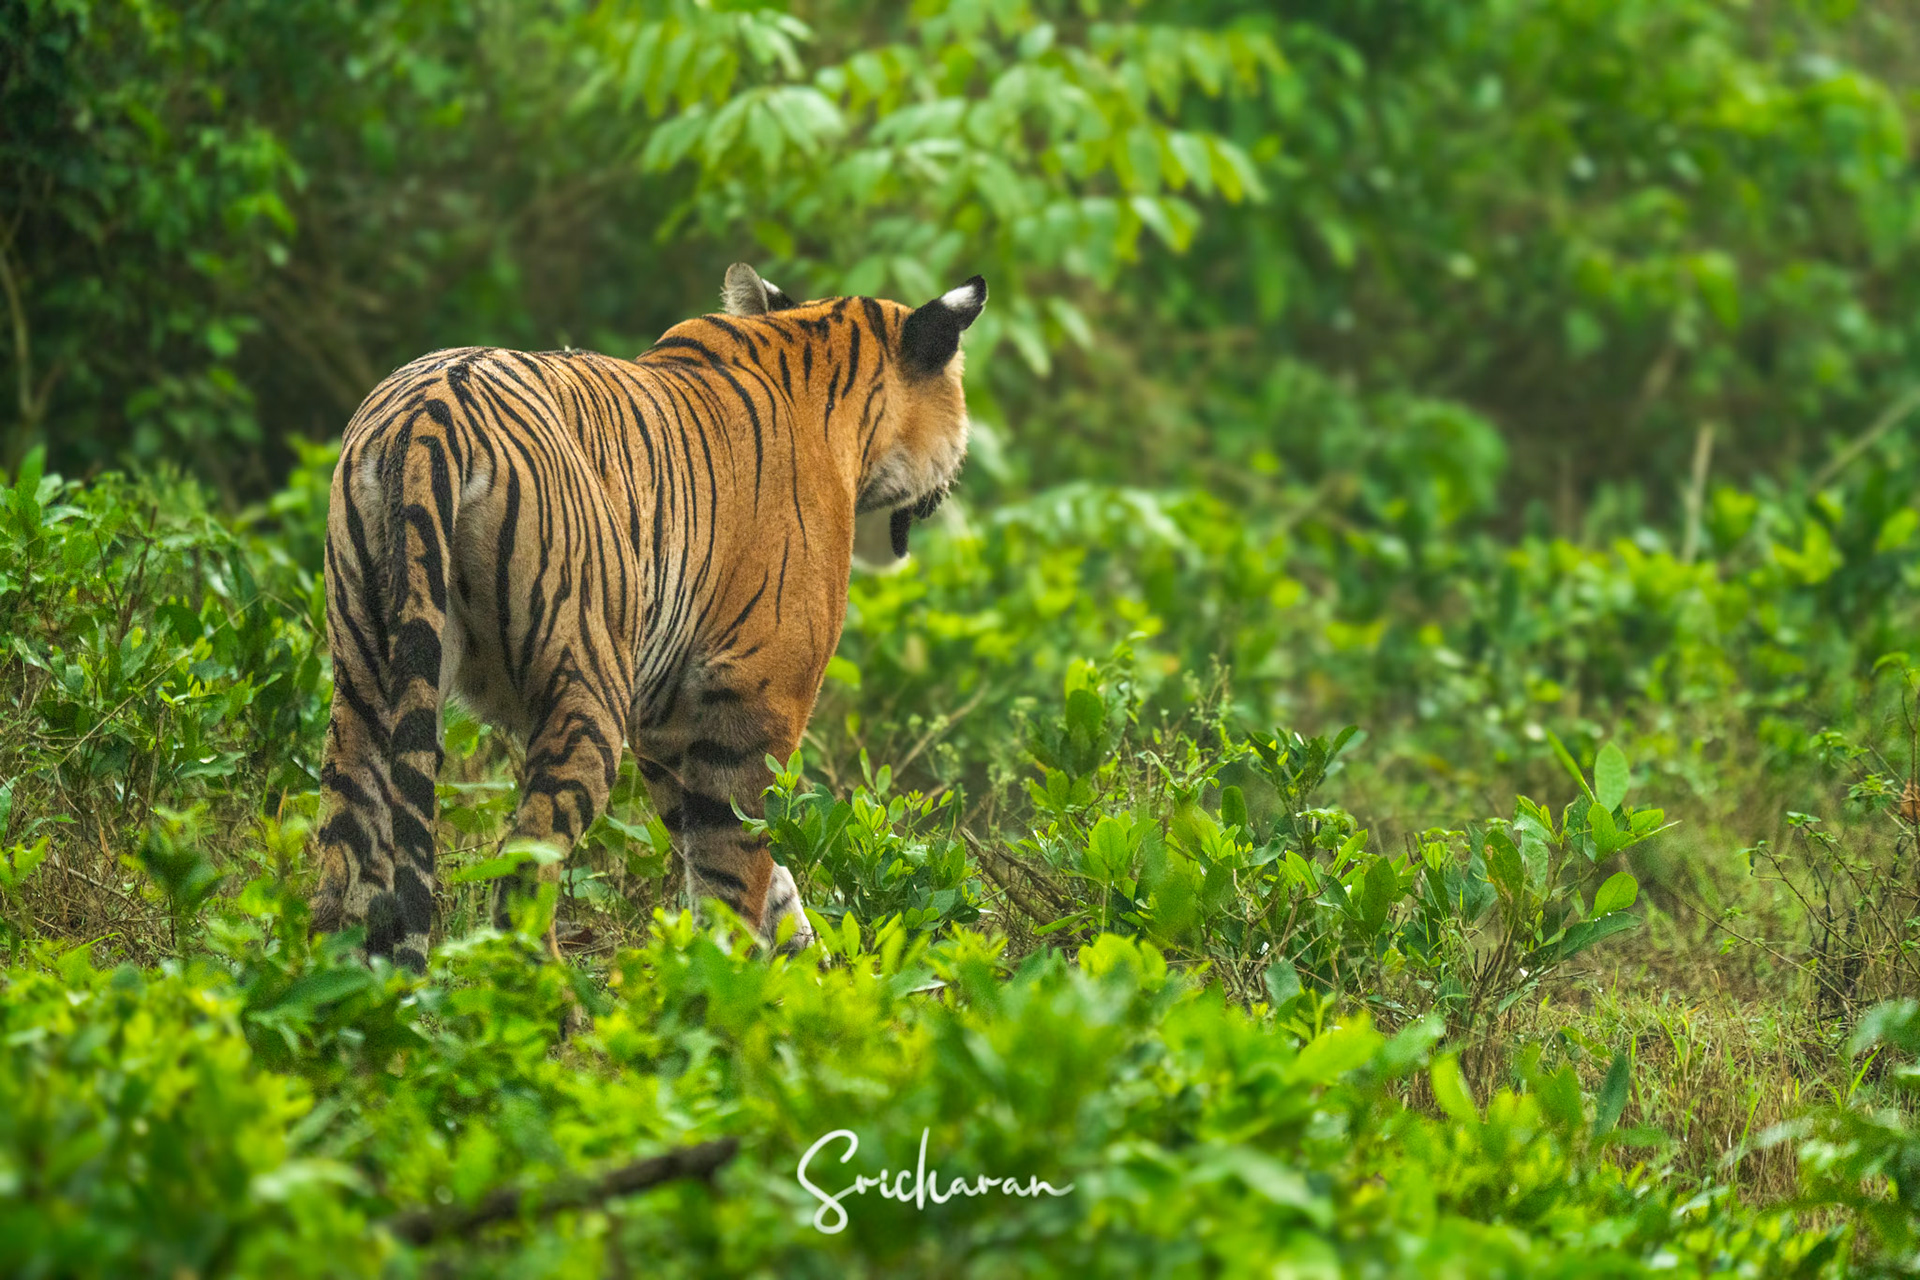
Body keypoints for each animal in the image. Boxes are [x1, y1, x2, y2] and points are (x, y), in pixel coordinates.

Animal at [310, 263, 986, 970]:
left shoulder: (669, 720)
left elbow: (736, 864)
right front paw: (729, 978)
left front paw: (796, 965)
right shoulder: (757, 695)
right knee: (523, 866)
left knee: (345, 862)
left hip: (364, 681)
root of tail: (429, 413)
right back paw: (556, 992)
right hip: (585, 682)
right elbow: (735, 859)